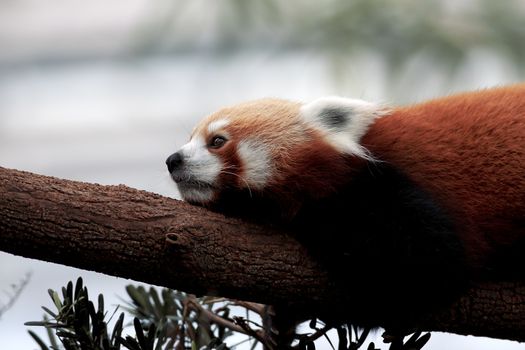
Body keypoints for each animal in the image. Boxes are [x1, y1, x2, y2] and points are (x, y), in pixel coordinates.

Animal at [167, 85, 524, 330]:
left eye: (217, 141)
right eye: (191, 139)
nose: (173, 160)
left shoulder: (387, 195)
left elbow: (426, 269)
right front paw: (283, 314)